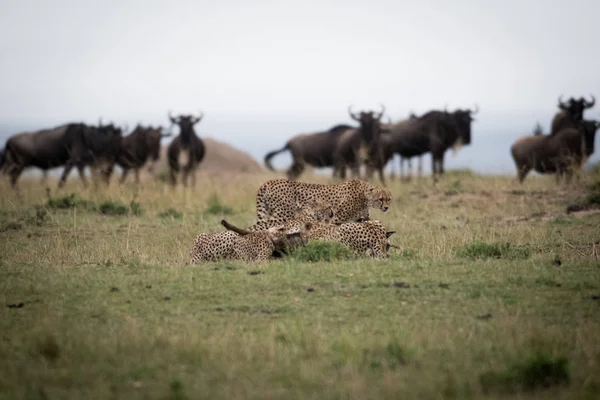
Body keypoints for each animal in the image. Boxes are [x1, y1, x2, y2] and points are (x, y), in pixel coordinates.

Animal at [251, 177, 392, 230]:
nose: (386, 208)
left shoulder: (361, 219)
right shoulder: (336, 219)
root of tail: (268, 182)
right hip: (282, 215)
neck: (365, 197)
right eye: (380, 199)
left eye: (389, 199)